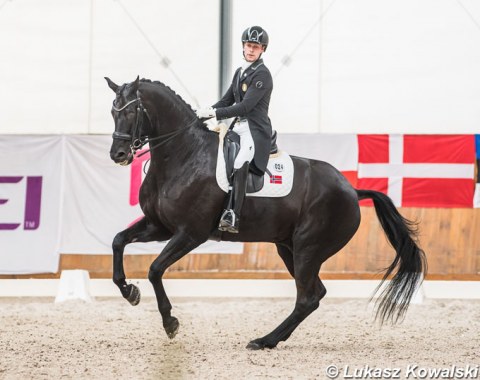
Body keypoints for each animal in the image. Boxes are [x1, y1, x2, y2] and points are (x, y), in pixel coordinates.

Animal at [106, 76, 428, 350]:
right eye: (112, 111)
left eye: (132, 111)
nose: (118, 155)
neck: (184, 155)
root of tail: (351, 190)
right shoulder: (159, 226)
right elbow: (118, 241)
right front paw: (129, 291)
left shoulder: (190, 233)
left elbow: (155, 269)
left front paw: (170, 322)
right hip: (289, 248)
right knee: (315, 295)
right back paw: (271, 340)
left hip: (308, 249)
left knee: (307, 297)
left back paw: (263, 340)